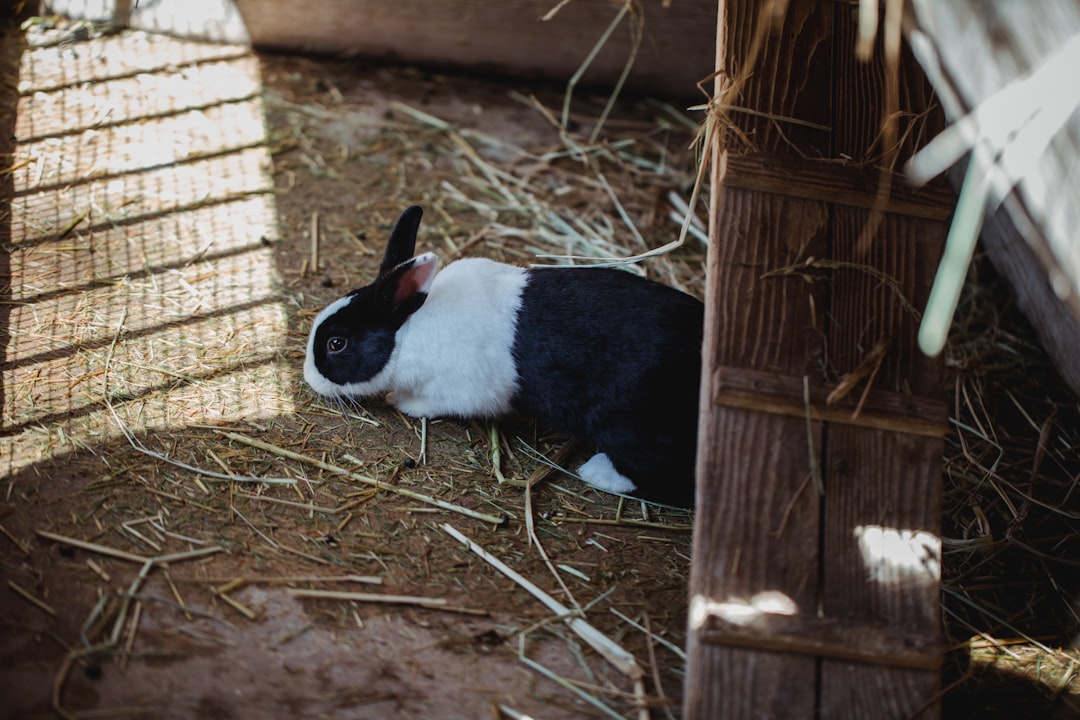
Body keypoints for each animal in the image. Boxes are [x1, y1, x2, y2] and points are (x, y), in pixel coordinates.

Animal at [308, 204, 704, 507]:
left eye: (336, 343)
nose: (308, 378)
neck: (407, 330)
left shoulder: (459, 391)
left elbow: (429, 404)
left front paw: (400, 401)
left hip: (633, 426)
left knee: (670, 478)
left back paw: (597, 472)